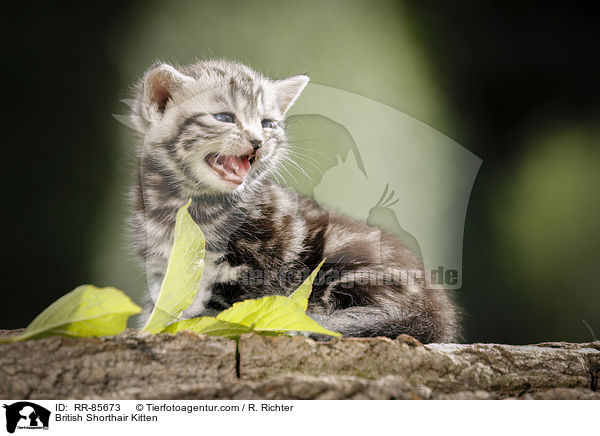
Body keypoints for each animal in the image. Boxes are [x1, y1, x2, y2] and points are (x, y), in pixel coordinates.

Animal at [131, 58, 458, 344]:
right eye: (224, 117)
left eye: (267, 123)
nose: (258, 142)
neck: (189, 207)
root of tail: (438, 314)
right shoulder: (164, 271)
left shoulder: (254, 268)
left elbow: (223, 310)